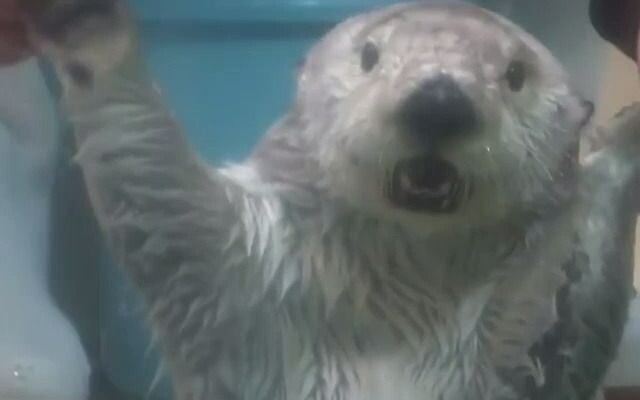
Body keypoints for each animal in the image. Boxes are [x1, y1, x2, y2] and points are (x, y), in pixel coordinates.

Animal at [17, 1, 639, 399]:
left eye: (514, 74)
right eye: (370, 55)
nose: (438, 101)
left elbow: (564, 341)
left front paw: (619, 143)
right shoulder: (250, 283)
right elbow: (166, 201)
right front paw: (90, 29)